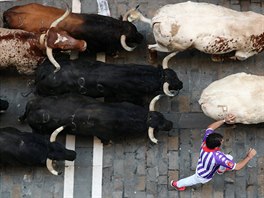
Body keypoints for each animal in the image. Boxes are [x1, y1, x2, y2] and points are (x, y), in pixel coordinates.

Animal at [125, 1, 264, 68]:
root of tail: (159, 18)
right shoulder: (245, 53)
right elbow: (235, 57)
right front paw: (217, 58)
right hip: (171, 46)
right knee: (151, 47)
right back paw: (152, 60)